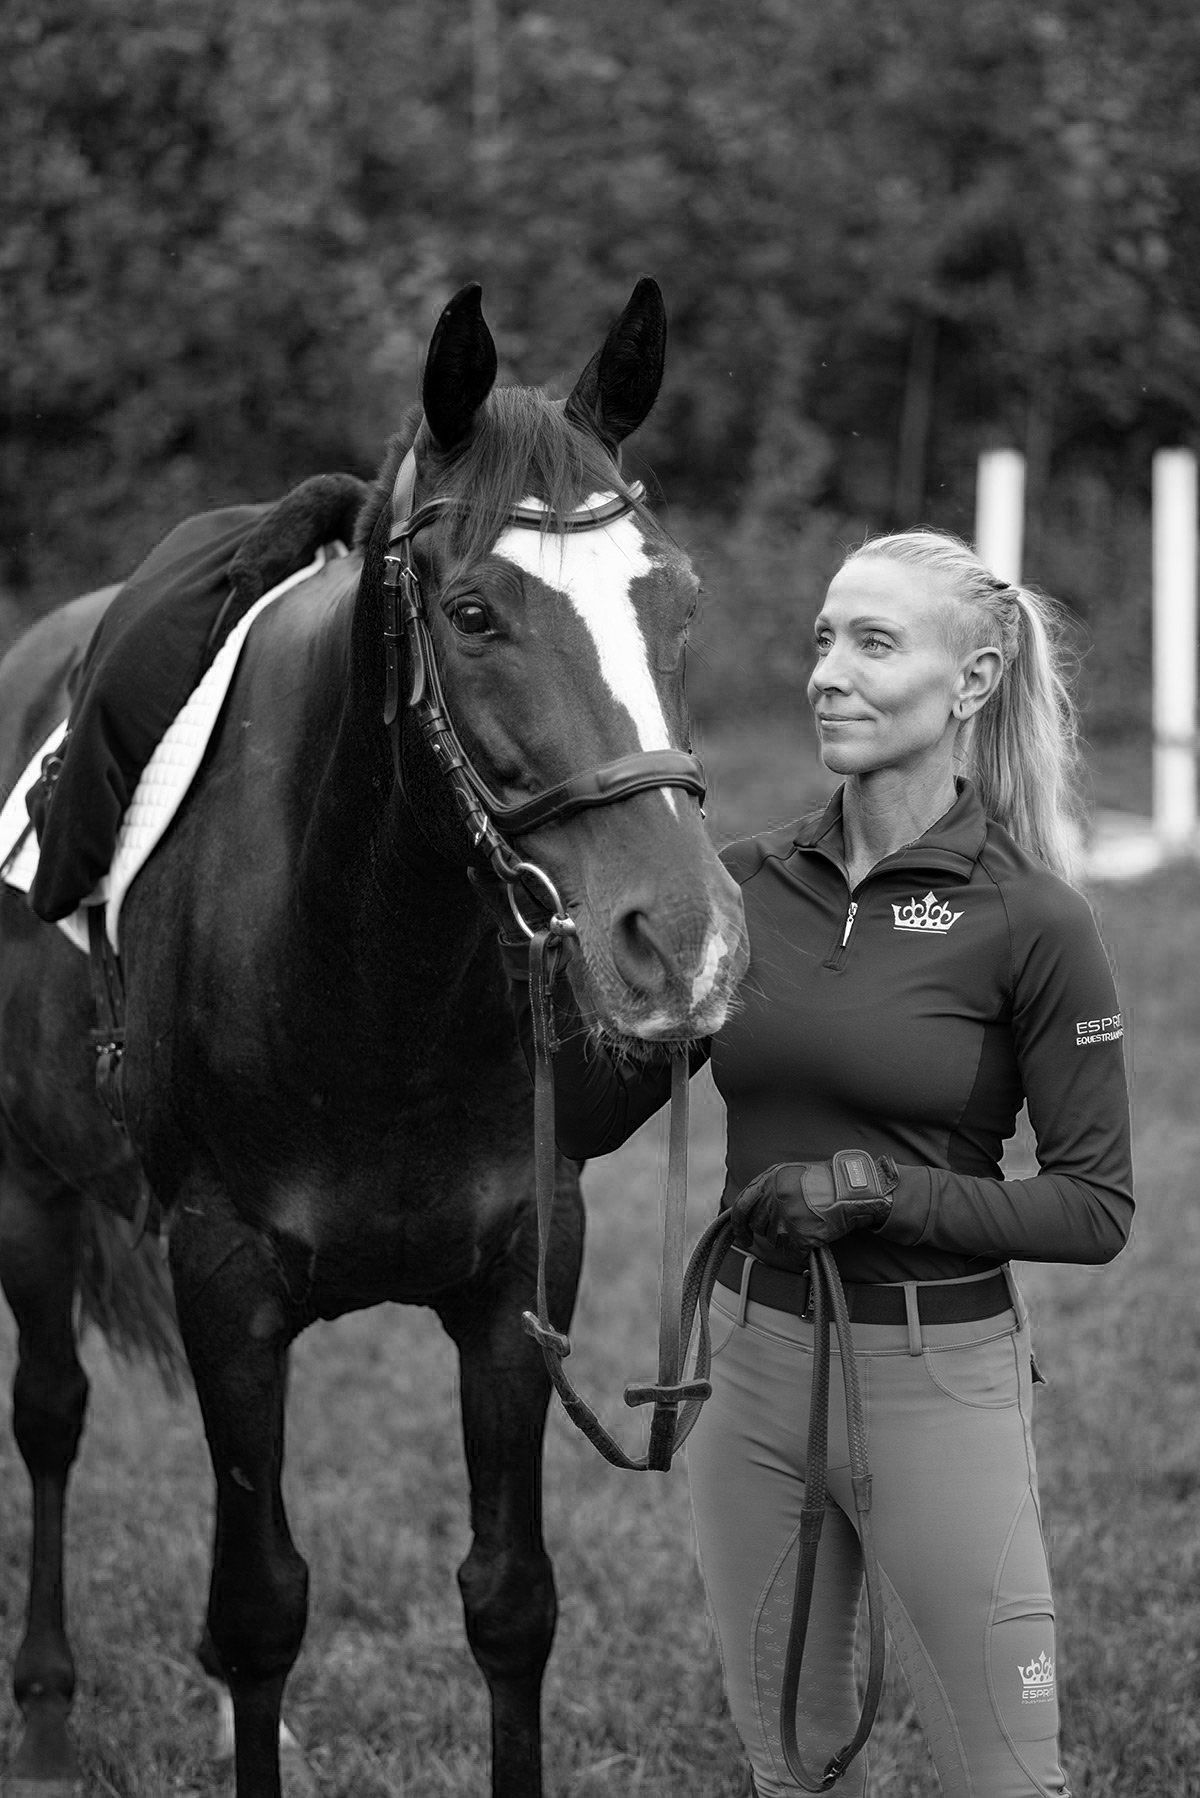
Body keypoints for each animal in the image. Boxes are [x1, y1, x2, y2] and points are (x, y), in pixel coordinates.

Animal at [0, 278, 750, 1797]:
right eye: (471, 611)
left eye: (679, 598)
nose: (686, 937)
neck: (366, 966)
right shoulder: (223, 1275)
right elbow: (262, 1604)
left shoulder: (521, 1274)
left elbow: (511, 1600)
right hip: (31, 1190)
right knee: (49, 1413)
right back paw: (46, 1715)